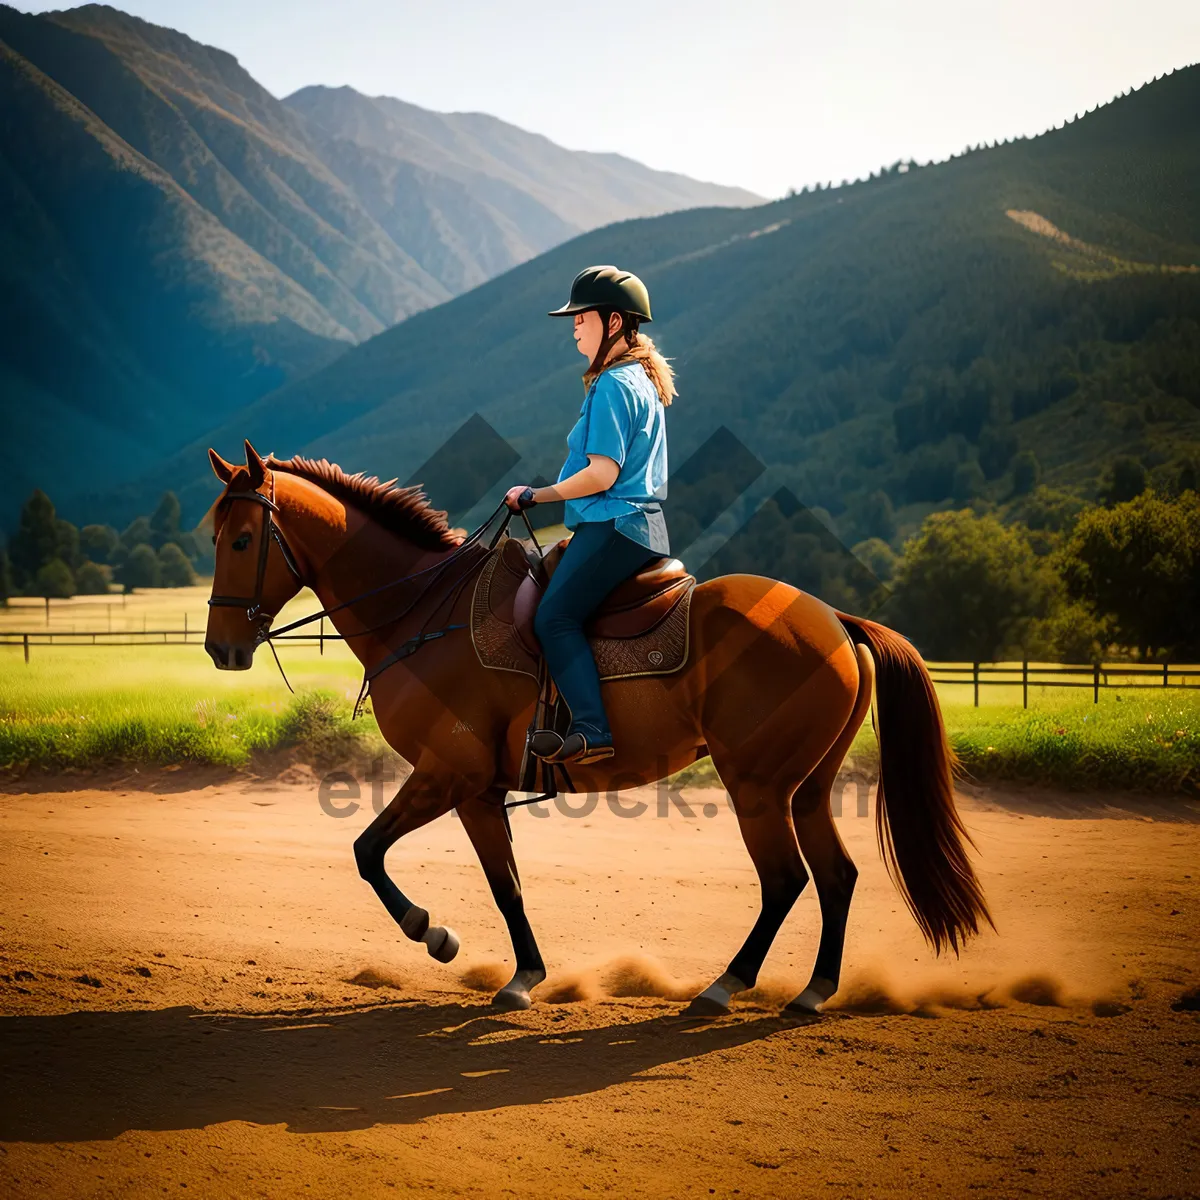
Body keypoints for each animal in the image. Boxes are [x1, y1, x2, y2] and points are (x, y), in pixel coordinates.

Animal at [206, 441, 993, 1012]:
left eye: (243, 540)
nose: (221, 649)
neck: (424, 612)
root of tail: (832, 619)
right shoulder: (480, 791)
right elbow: (507, 885)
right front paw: (524, 975)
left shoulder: (449, 774)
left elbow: (369, 851)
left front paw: (436, 935)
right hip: (806, 788)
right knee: (835, 875)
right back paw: (814, 991)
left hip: (759, 787)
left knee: (784, 881)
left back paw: (725, 986)